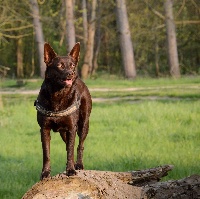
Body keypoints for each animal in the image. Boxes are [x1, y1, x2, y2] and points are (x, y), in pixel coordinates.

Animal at [35, 42, 92, 179]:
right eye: (60, 66)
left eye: (72, 65)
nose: (71, 73)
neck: (58, 95)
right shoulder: (44, 129)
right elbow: (46, 153)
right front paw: (45, 173)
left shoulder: (72, 127)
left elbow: (71, 150)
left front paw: (71, 170)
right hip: (63, 132)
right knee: (68, 145)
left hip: (83, 125)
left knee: (79, 145)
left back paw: (79, 165)